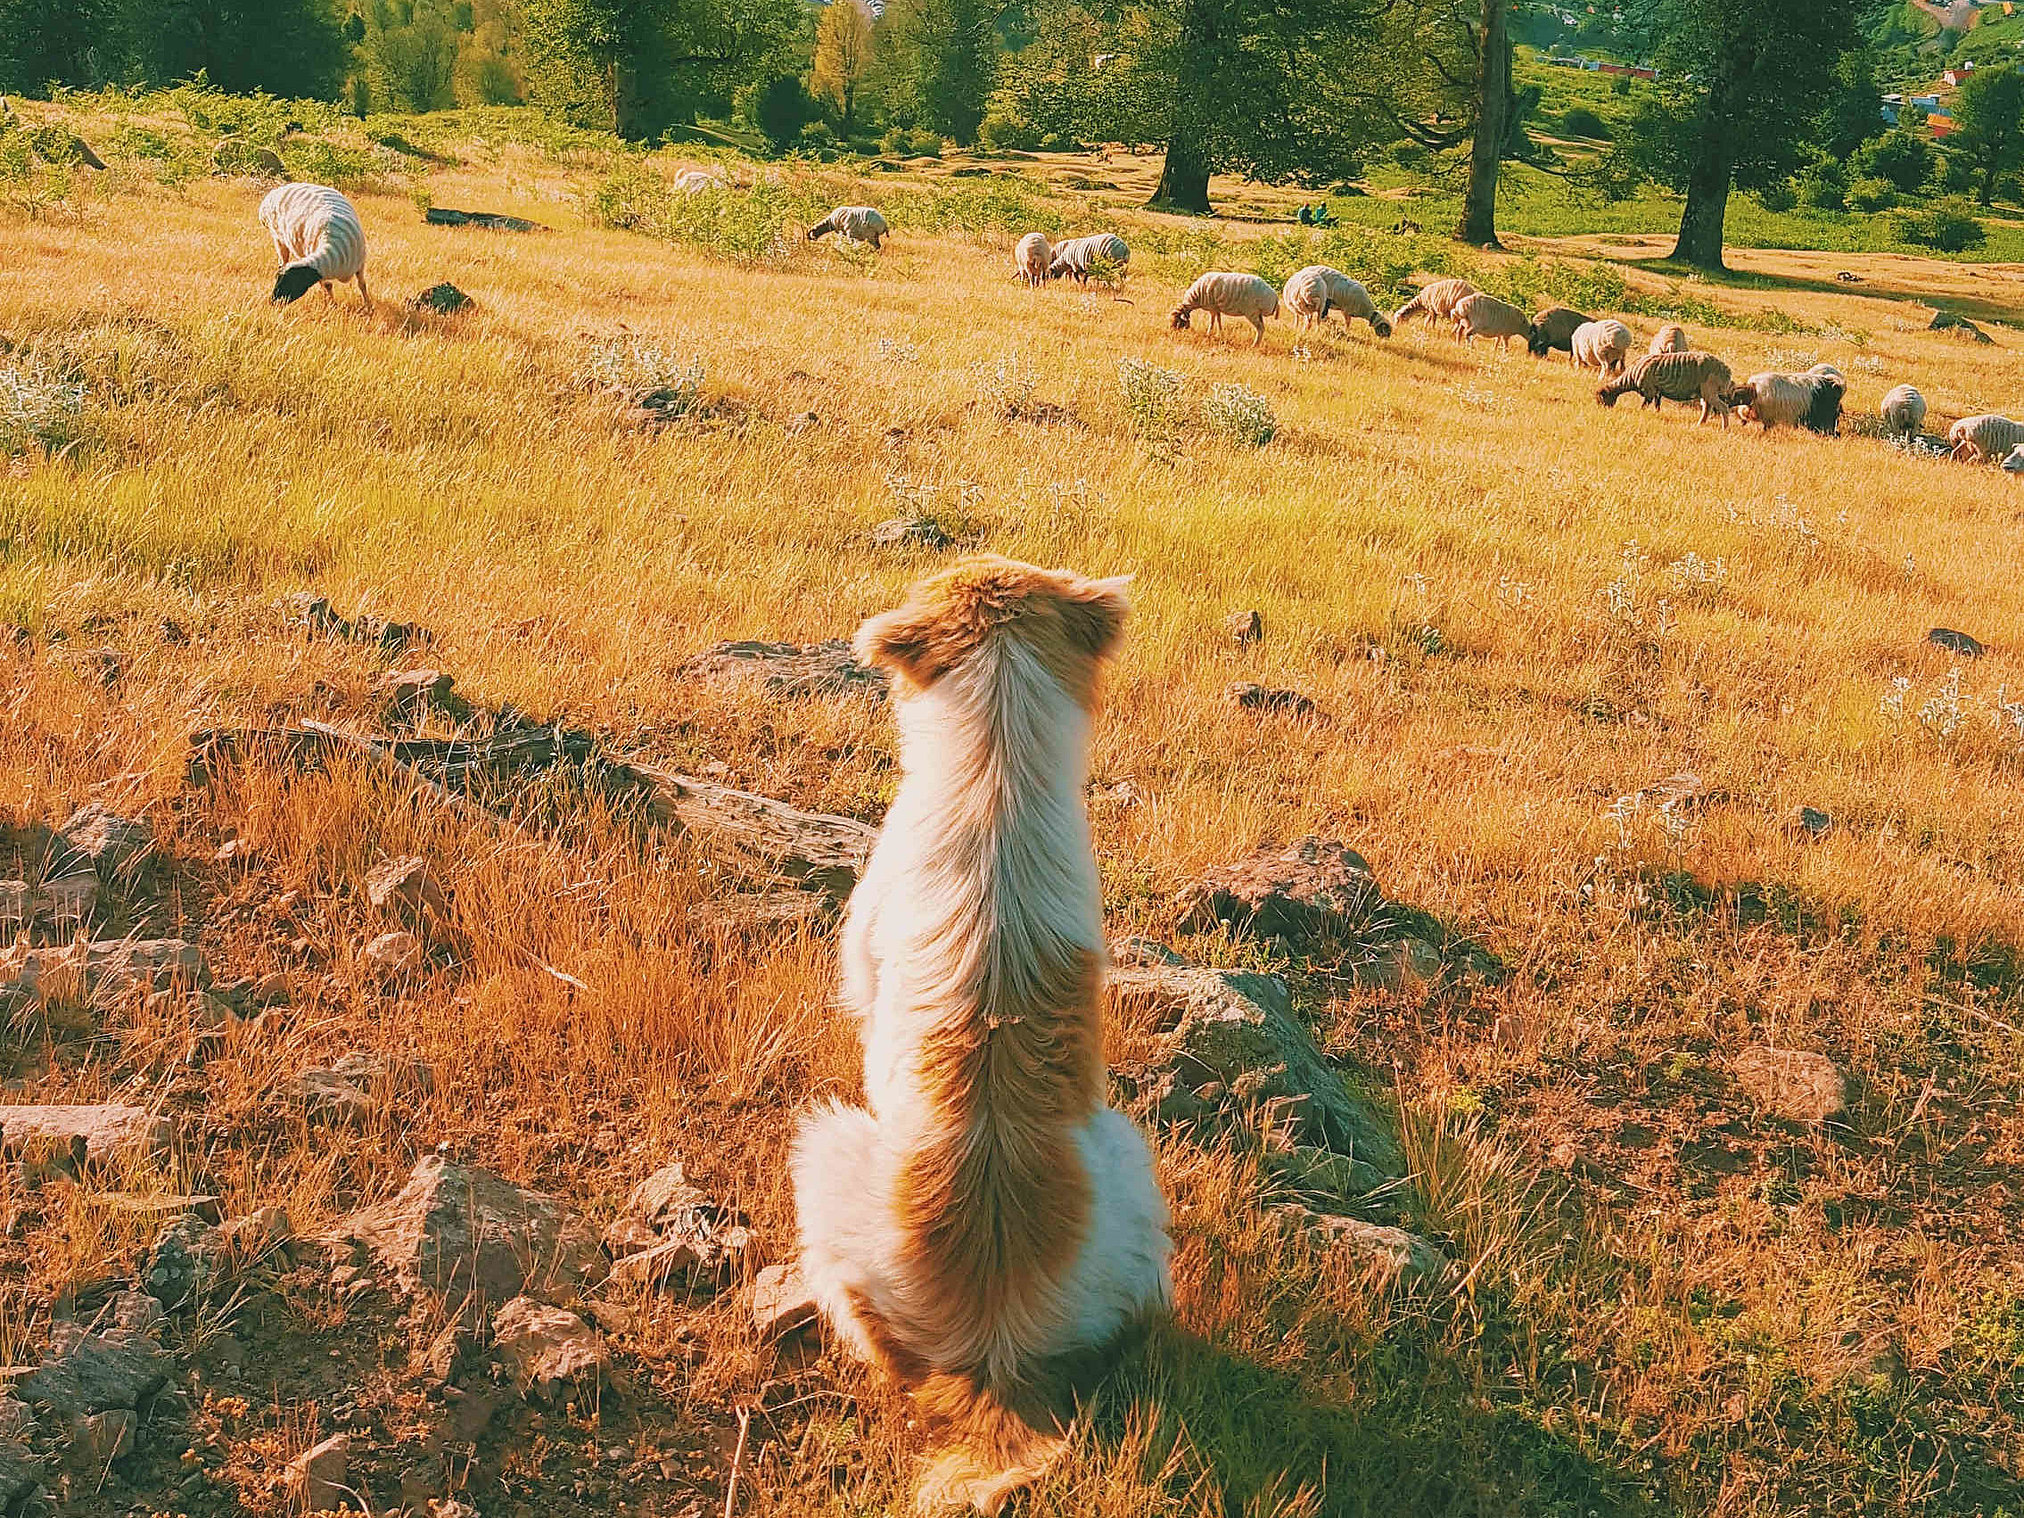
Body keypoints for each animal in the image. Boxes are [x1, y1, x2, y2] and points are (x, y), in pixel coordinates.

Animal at [1594, 352, 1740, 429]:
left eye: (1602, 398)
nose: (1602, 411)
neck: (1629, 378)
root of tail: (1726, 371)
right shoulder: (1657, 391)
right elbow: (1657, 405)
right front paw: (1657, 414)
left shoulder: (1649, 390)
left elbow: (1644, 405)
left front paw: (1640, 413)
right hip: (1705, 392)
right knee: (1708, 407)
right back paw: (1700, 423)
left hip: (1710, 390)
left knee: (1723, 408)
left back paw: (1724, 428)